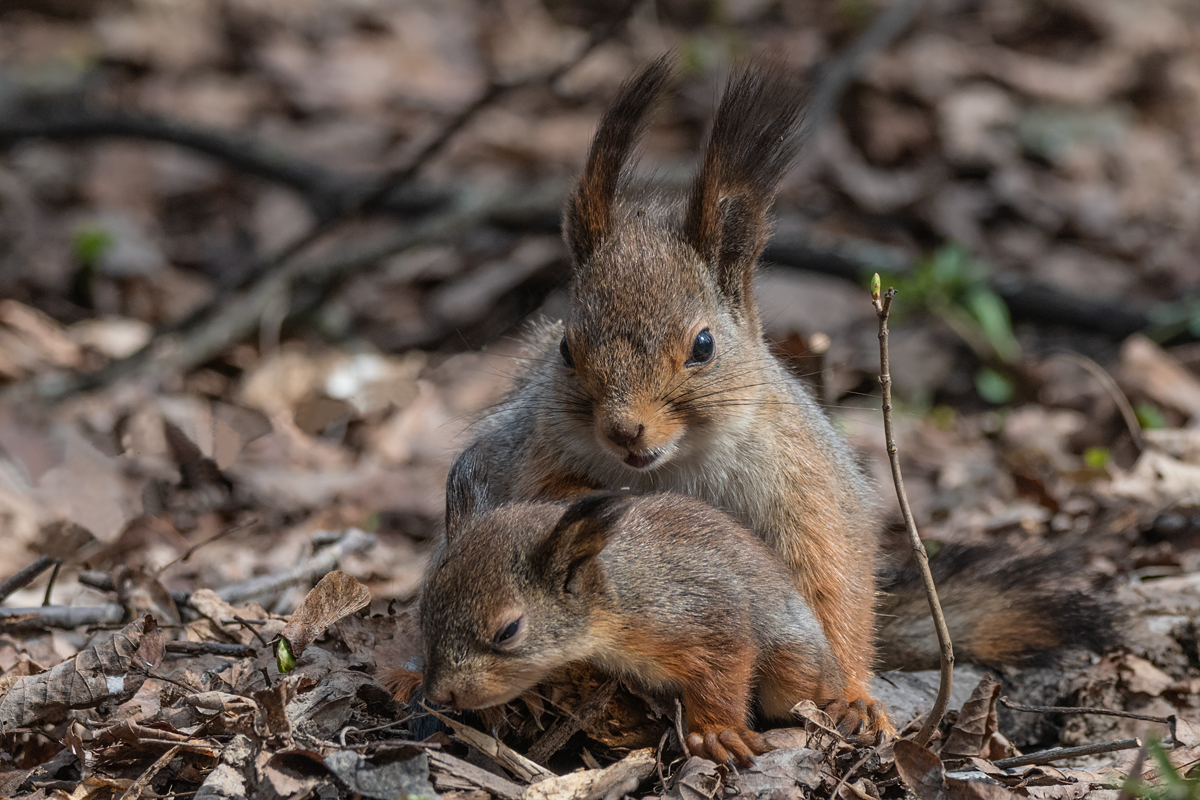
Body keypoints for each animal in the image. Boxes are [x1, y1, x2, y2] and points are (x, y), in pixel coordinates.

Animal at [420, 448, 844, 767]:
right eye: (425, 608)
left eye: (508, 631)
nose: (439, 695)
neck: (616, 598)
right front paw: (516, 700)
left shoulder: (706, 611)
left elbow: (722, 676)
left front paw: (716, 734)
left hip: (793, 668)